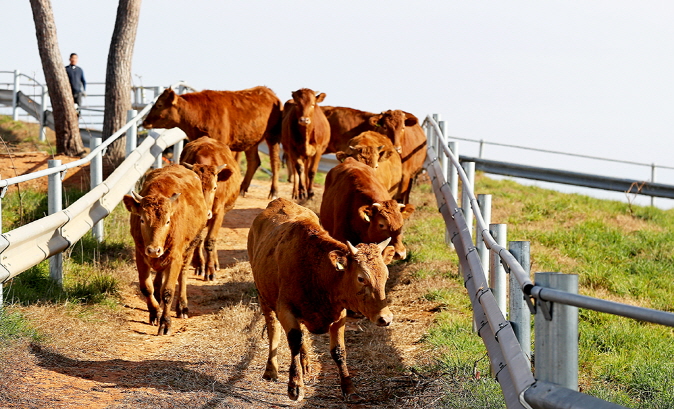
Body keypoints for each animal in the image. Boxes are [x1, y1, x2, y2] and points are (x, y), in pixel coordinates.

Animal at [122, 163, 210, 334]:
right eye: (142, 219)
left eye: (168, 221)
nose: (154, 250)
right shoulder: (140, 255)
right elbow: (146, 287)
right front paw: (155, 312)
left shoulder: (175, 258)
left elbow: (168, 291)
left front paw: (165, 323)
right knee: (158, 277)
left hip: (191, 246)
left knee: (182, 276)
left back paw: (182, 307)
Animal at [142, 86, 280, 199]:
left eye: (159, 105)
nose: (145, 121)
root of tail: (268, 92)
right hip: (251, 141)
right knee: (254, 161)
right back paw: (242, 189)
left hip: (273, 136)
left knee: (275, 162)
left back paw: (274, 192)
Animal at [178, 137, 242, 280]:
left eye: (214, 187)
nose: (206, 213)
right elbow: (200, 240)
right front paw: (200, 266)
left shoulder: (219, 213)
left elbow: (210, 240)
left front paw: (210, 269)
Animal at [247, 198, 394, 402]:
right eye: (361, 278)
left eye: (386, 276)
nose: (385, 318)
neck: (316, 271)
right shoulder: (285, 309)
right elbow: (293, 341)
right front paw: (295, 386)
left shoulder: (339, 315)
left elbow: (338, 350)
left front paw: (348, 387)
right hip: (264, 298)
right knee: (273, 329)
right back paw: (271, 370)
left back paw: (306, 363)